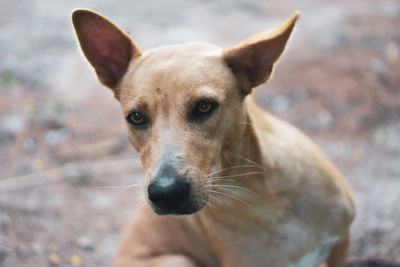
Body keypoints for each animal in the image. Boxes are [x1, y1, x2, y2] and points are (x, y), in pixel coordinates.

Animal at [72, 9, 356, 266]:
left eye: (204, 106)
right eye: (136, 117)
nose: (166, 193)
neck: (263, 193)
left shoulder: (340, 242)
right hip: (178, 260)